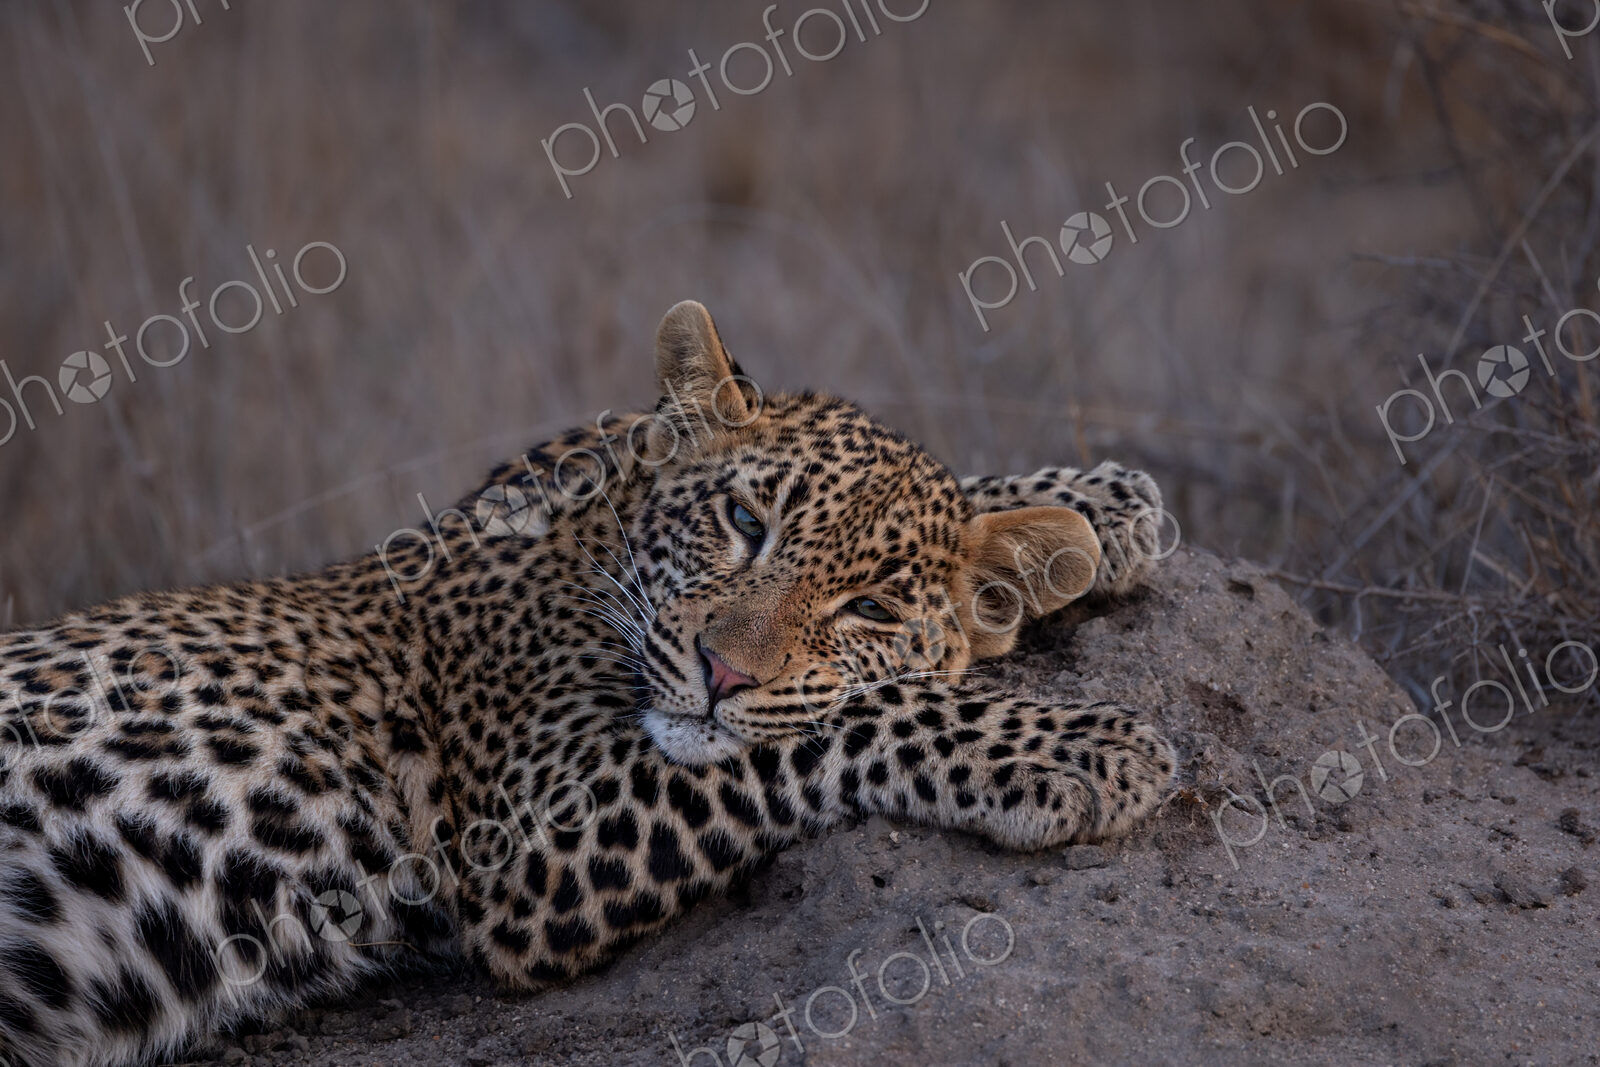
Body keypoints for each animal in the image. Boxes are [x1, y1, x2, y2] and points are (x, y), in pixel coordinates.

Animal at [0, 300, 1175, 1067]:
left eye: (873, 610)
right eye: (743, 521)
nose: (721, 670)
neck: (598, 532)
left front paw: (1100, 507)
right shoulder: (533, 835)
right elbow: (843, 716)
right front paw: (1086, 747)